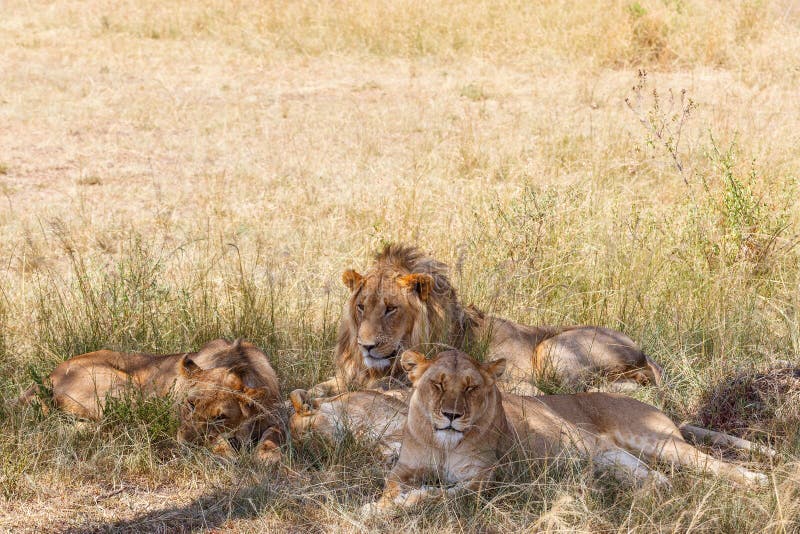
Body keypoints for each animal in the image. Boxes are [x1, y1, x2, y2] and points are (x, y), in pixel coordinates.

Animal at [16, 342, 288, 462]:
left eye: (221, 417)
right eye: (190, 404)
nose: (186, 443)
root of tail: (47, 377)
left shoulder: (276, 418)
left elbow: (274, 436)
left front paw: (268, 457)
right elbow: (219, 443)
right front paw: (226, 453)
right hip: (126, 390)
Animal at [340, 352, 772, 516]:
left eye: (472, 387)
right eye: (438, 384)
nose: (450, 415)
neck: (443, 443)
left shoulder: (482, 481)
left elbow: (434, 496)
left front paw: (393, 506)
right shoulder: (402, 470)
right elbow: (392, 489)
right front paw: (378, 506)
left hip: (659, 442)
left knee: (714, 465)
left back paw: (759, 481)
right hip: (611, 457)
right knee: (659, 481)